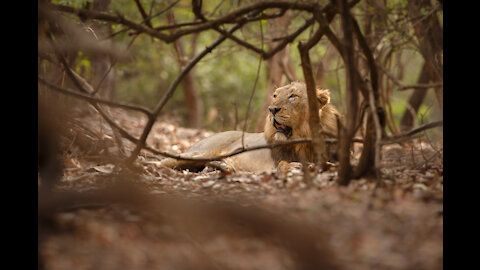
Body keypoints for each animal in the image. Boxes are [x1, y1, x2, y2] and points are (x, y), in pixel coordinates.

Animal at [159, 81, 344, 173]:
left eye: (293, 96)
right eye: (275, 95)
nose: (272, 109)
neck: (304, 140)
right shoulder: (274, 162)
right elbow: (283, 164)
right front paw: (295, 166)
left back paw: (222, 166)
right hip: (198, 154)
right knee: (162, 162)